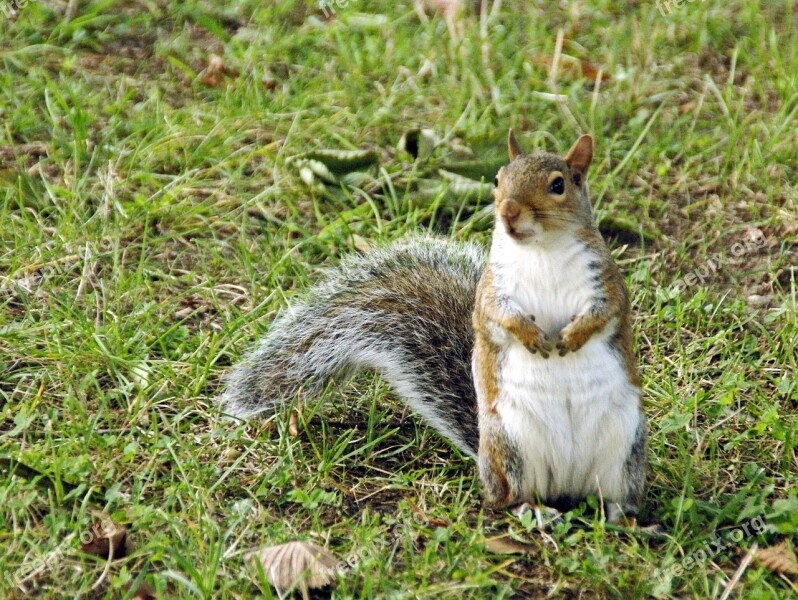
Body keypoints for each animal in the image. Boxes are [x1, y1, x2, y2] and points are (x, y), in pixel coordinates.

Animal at [220, 130, 648, 520]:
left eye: (558, 185)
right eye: (498, 179)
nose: (508, 211)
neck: (542, 250)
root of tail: (565, 488)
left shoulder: (605, 283)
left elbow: (605, 313)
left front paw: (571, 337)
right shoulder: (493, 291)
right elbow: (498, 317)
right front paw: (533, 337)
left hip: (624, 450)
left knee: (612, 496)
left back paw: (626, 520)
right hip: (512, 449)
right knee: (505, 500)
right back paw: (533, 509)